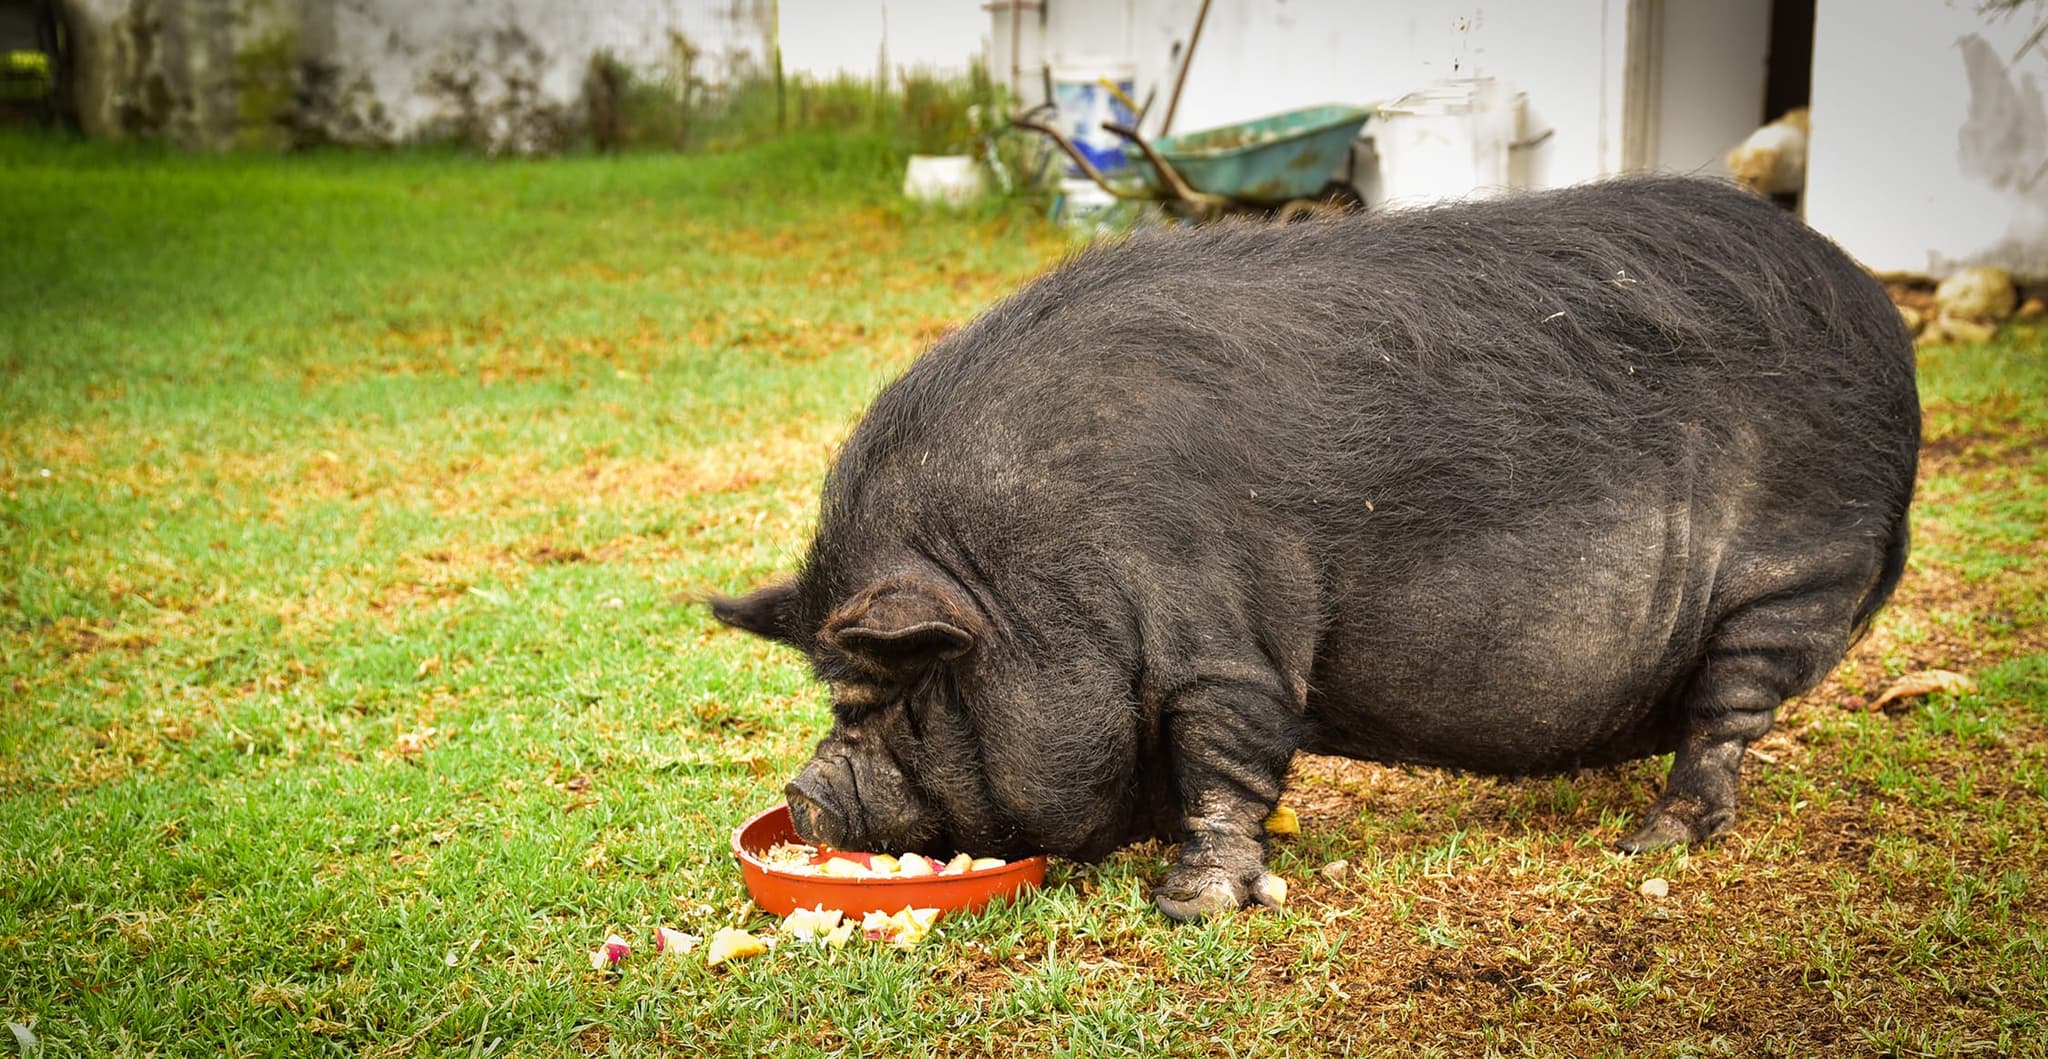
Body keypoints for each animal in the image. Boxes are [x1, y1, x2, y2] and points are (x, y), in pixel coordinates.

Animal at [711, 177, 1919, 920]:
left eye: (885, 690)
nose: (806, 794)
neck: (1037, 580)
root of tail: (1891, 346)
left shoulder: (1228, 650)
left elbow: (1226, 764)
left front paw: (1190, 907)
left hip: (1788, 583)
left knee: (1727, 719)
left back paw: (1652, 842)